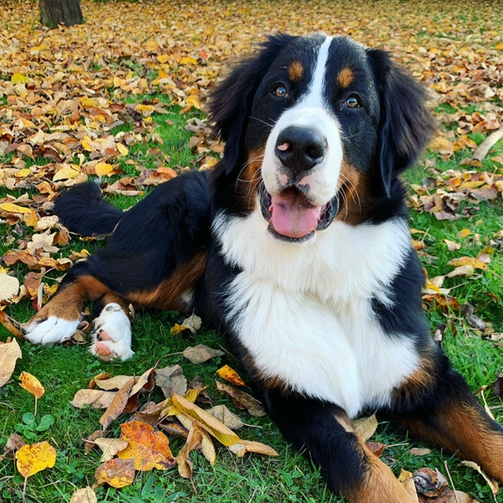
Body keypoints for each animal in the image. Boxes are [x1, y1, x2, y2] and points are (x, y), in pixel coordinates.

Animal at [22, 33, 503, 502]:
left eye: (353, 101)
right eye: (279, 90)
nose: (300, 148)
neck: (320, 272)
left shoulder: (428, 377)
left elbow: (489, 436)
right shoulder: (301, 401)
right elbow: (370, 476)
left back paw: (112, 330)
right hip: (164, 255)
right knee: (86, 267)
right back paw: (56, 319)